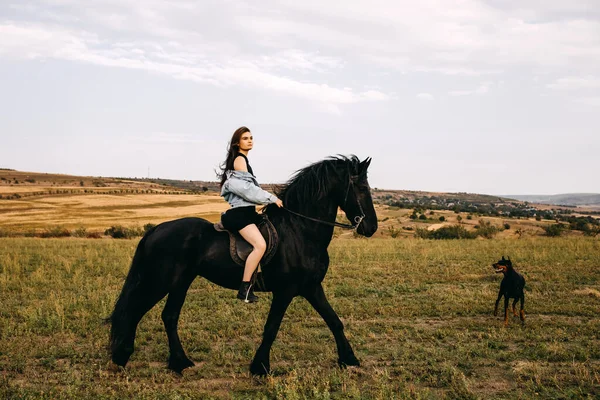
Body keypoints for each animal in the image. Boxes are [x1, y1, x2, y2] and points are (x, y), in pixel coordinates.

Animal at [109, 154, 376, 376]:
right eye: (362, 188)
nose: (371, 228)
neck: (301, 230)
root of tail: (156, 229)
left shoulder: (311, 287)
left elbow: (334, 321)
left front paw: (349, 359)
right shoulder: (286, 291)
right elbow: (271, 328)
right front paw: (260, 367)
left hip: (180, 282)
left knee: (168, 315)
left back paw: (177, 362)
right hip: (163, 281)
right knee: (137, 311)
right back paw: (124, 356)